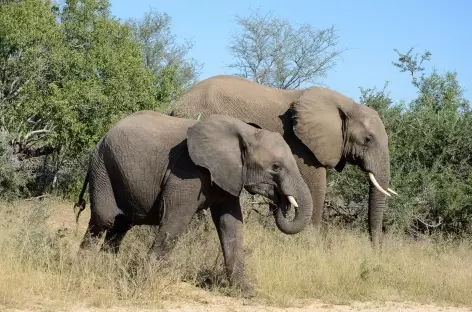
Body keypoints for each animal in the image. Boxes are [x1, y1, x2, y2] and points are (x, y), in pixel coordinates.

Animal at [73, 110, 314, 294]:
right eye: (276, 167)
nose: (281, 202)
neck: (244, 131)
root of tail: (102, 137)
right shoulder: (187, 172)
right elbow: (176, 220)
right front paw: (145, 282)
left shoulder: (228, 175)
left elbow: (231, 225)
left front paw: (246, 291)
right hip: (103, 168)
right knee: (104, 220)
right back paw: (84, 267)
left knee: (121, 226)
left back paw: (107, 268)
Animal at [171, 75, 398, 246]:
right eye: (368, 139)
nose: (376, 249)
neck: (346, 104)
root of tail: (177, 103)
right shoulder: (300, 144)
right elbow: (317, 185)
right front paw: (310, 243)